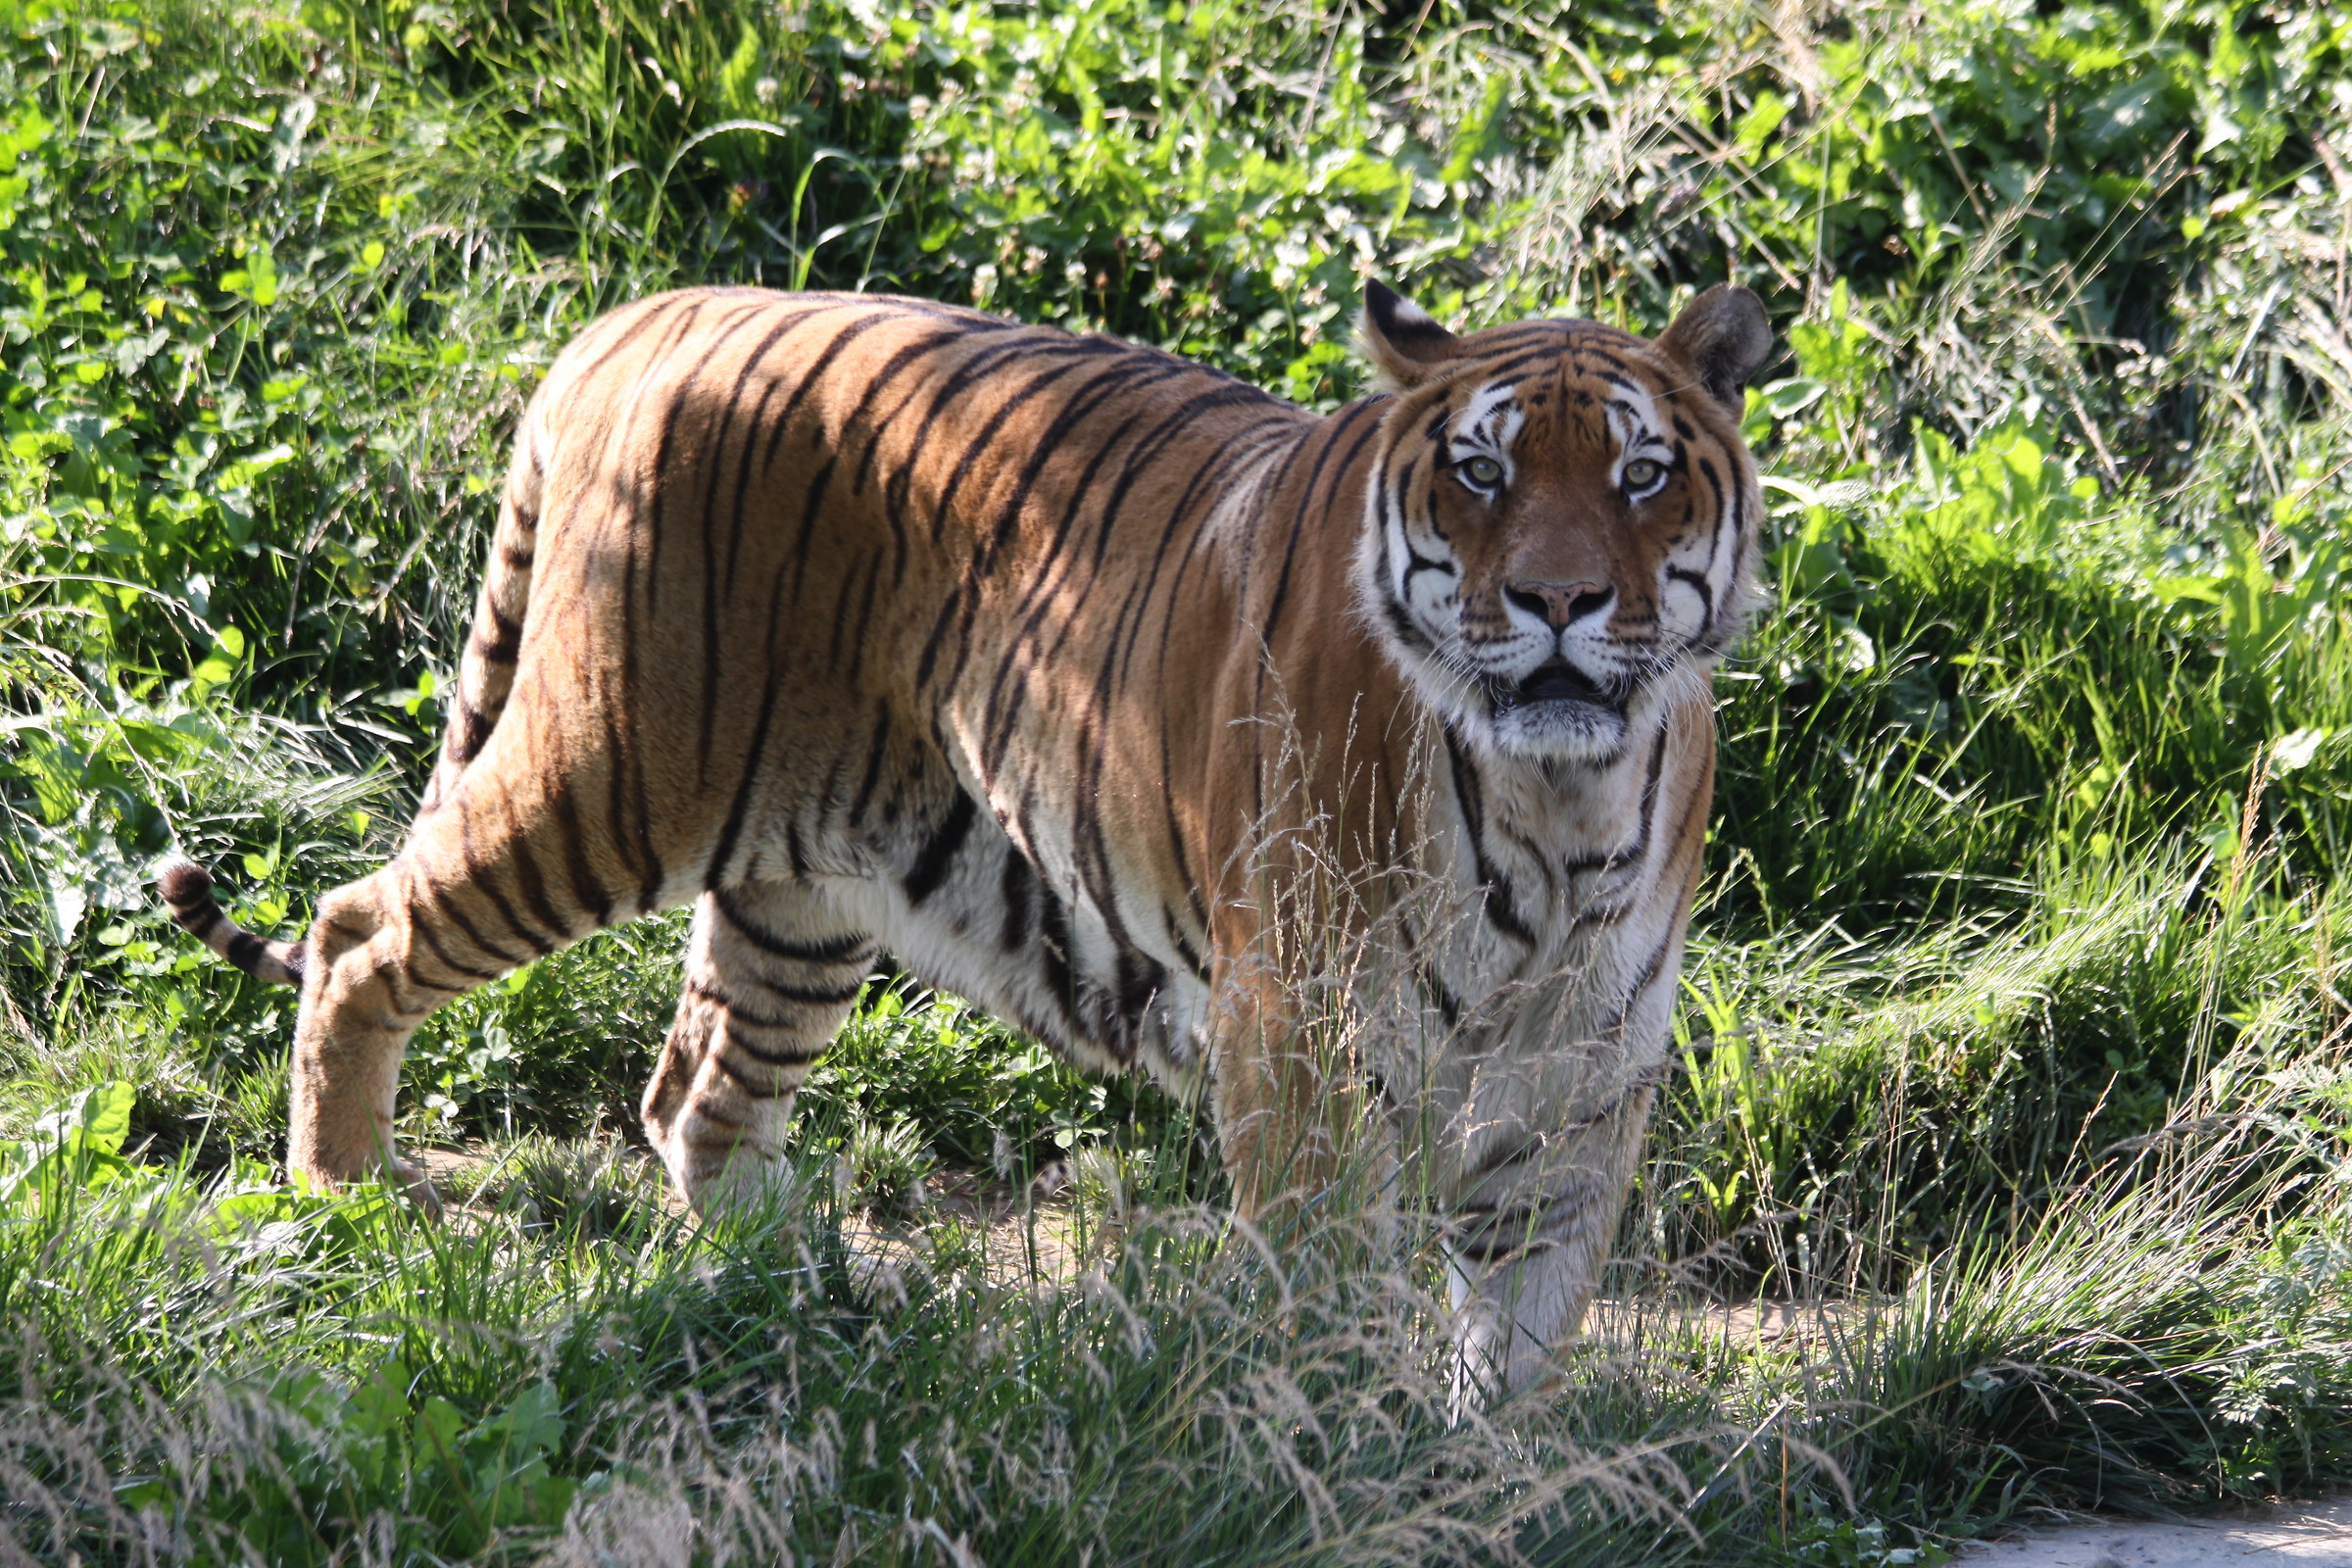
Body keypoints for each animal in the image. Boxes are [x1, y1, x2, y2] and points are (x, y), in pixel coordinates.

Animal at [160, 278, 1770, 1399]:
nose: (1558, 601)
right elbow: (1327, 1295)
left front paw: (1475, 1477)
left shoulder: (1580, 1095)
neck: (1558, 805)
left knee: (696, 1095)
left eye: (1640, 475)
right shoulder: (1300, 1045)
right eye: (1482, 473)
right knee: (360, 930)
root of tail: (646, 314)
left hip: (801, 885)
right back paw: (348, 1208)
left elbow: (1517, 1350)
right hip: (608, 775)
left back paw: (818, 1303)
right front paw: (1336, 1455)